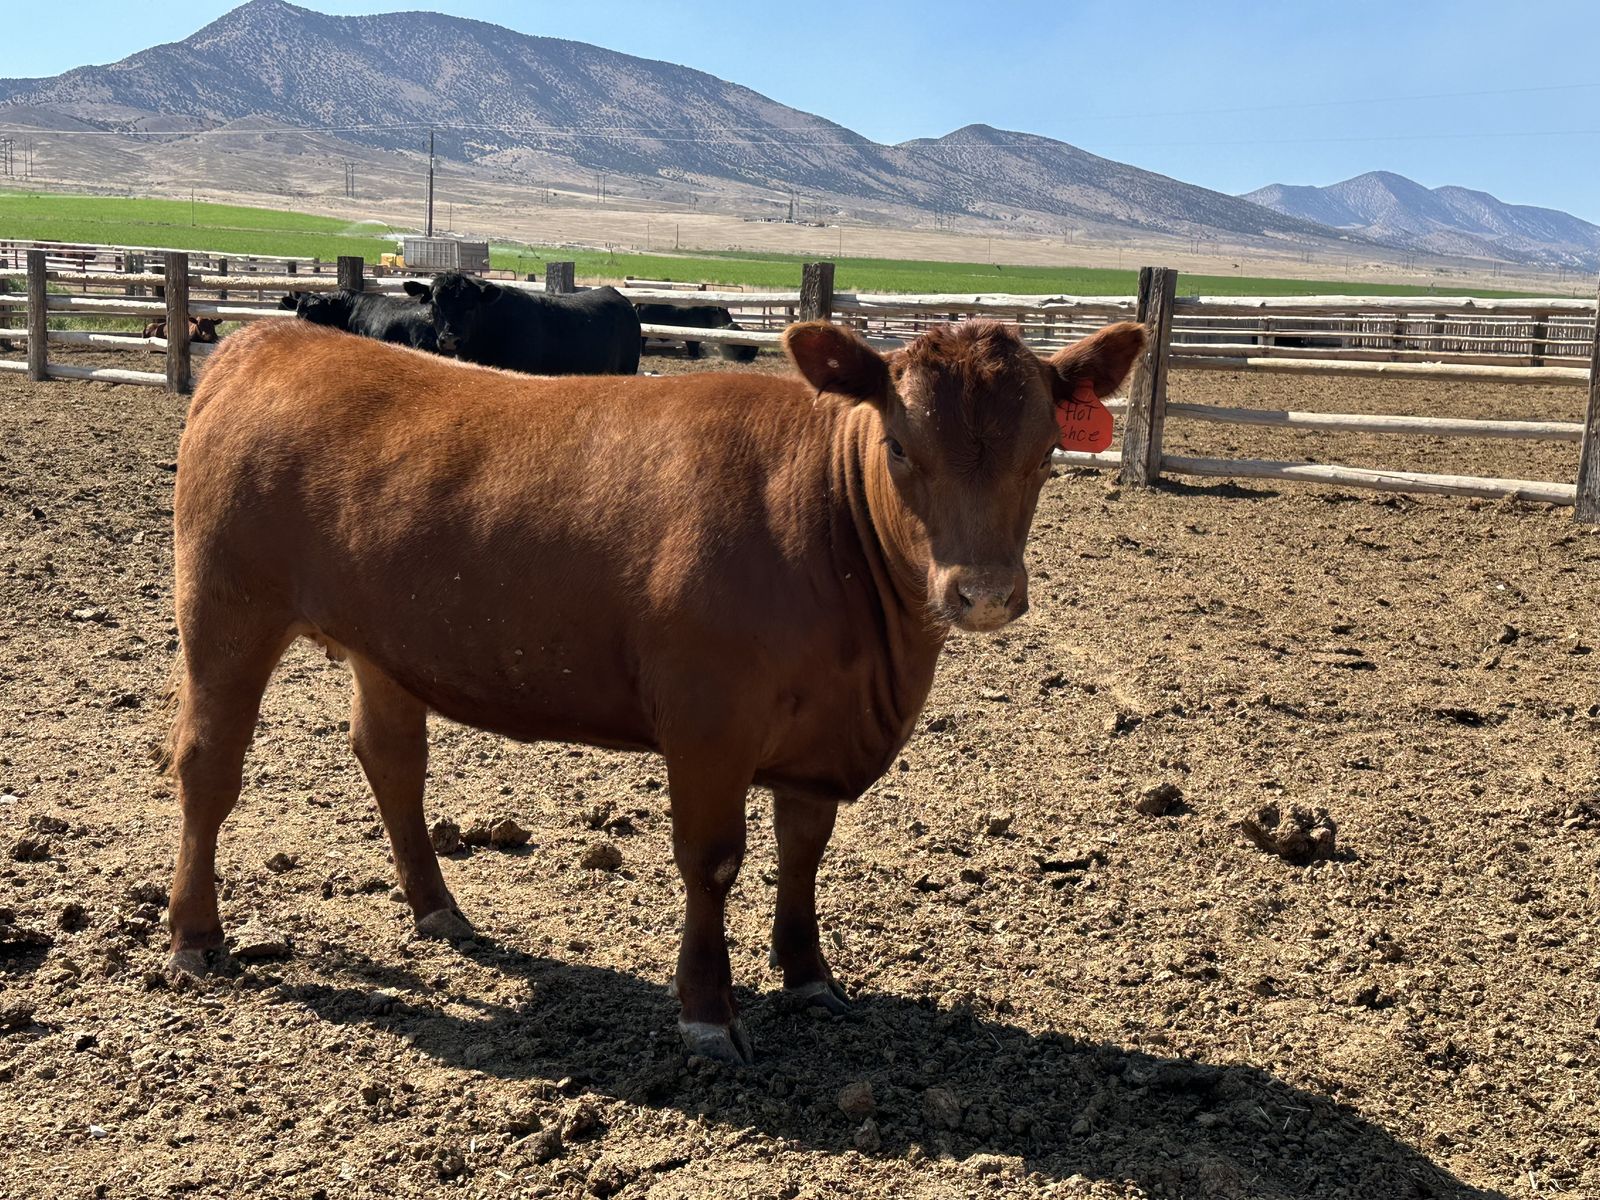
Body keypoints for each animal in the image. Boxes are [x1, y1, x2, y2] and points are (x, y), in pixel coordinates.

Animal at [162, 315, 1144, 1063]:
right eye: (901, 446)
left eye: (1046, 452)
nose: (983, 593)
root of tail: (272, 338)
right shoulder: (709, 722)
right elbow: (712, 862)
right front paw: (708, 1013)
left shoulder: (816, 738)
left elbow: (804, 853)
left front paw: (810, 977)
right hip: (225, 609)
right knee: (209, 766)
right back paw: (195, 937)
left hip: (385, 642)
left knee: (392, 760)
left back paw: (438, 909)